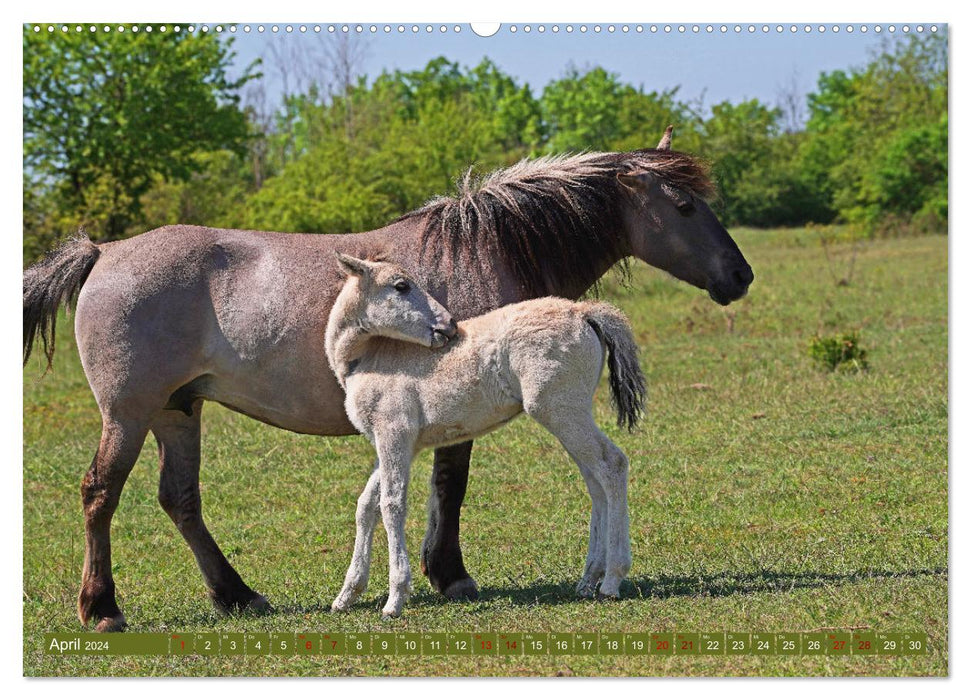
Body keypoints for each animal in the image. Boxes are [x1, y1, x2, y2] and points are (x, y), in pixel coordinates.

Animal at [322, 254, 648, 616]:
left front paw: (395, 599)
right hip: (570, 414)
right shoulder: (397, 443)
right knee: (595, 479)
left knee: (611, 464)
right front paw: (347, 594)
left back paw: (611, 580)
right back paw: (589, 579)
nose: (449, 326)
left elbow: (391, 505)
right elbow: (366, 505)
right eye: (401, 286)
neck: (367, 359)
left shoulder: (394, 433)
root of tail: (583, 312)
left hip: (561, 410)